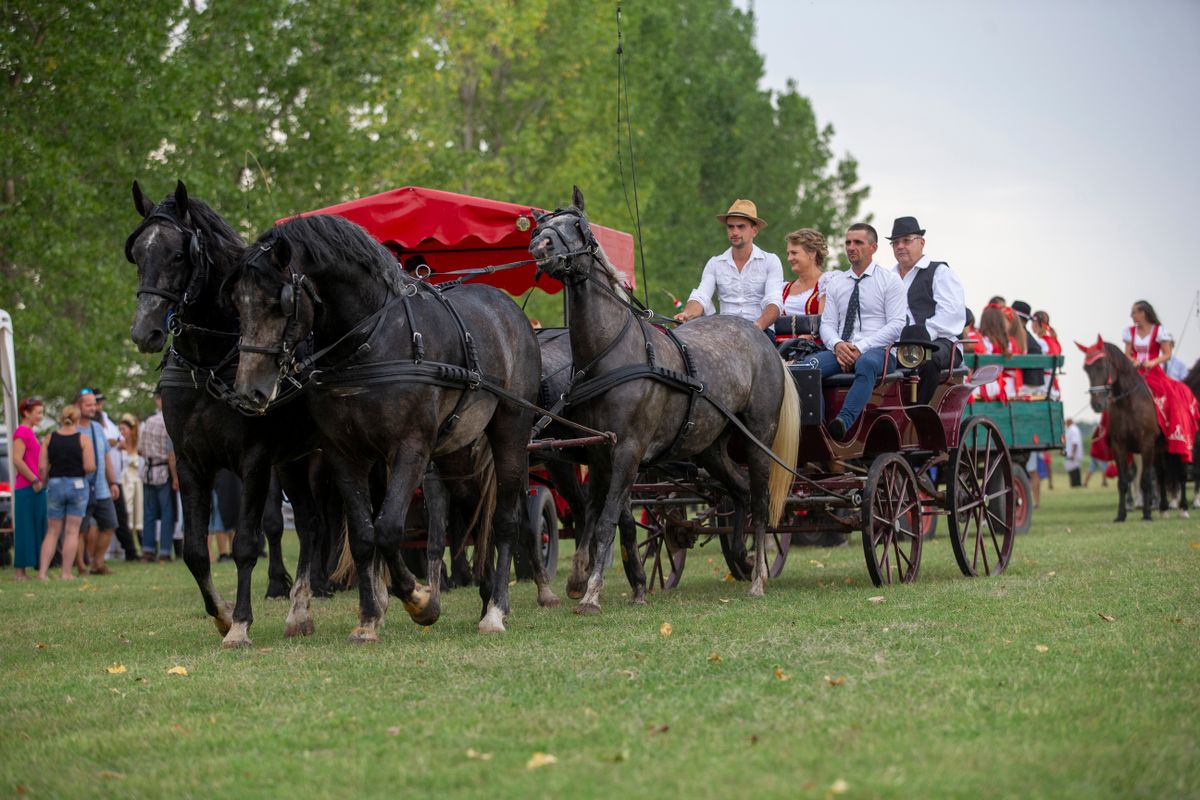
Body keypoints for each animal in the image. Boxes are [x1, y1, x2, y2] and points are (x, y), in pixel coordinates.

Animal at [126, 178, 328, 647]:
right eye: (138, 253)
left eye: (178, 255)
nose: (145, 332)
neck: (212, 362)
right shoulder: (190, 462)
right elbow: (195, 551)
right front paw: (219, 613)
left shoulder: (254, 461)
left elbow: (245, 545)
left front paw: (239, 623)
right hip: (292, 460)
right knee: (309, 522)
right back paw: (299, 612)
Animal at [230, 211, 556, 638]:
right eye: (237, 302)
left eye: (279, 303)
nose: (249, 391)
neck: (371, 341)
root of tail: (509, 308)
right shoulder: (344, 453)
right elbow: (364, 534)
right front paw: (369, 619)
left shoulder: (411, 447)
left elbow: (387, 530)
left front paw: (421, 601)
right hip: (456, 449)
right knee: (472, 512)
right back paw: (485, 594)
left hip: (511, 430)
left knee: (504, 519)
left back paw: (496, 609)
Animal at [532, 189, 796, 614]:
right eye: (542, 225)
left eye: (577, 225)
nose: (539, 247)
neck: (611, 353)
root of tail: (762, 340)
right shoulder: (601, 454)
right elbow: (605, 517)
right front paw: (601, 582)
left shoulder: (628, 450)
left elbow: (605, 520)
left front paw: (591, 593)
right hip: (711, 448)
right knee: (738, 491)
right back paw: (743, 557)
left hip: (758, 438)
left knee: (759, 500)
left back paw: (757, 577)